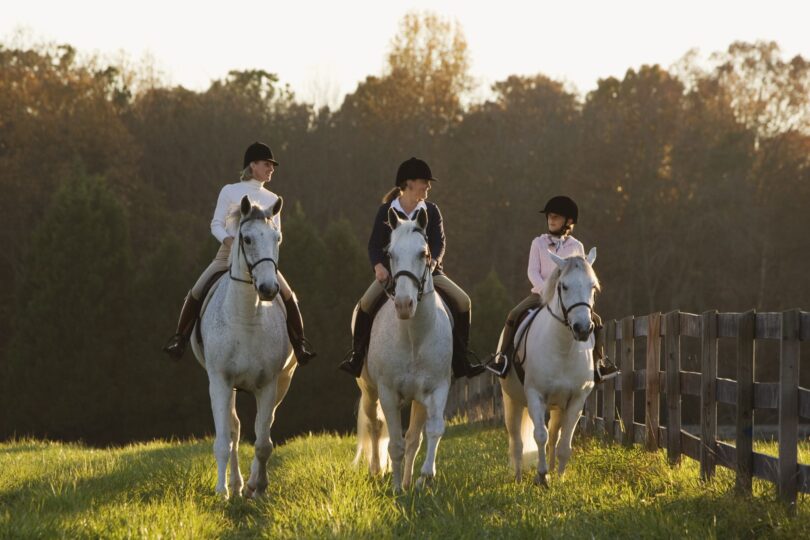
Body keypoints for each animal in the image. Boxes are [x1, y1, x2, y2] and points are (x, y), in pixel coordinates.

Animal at [190, 196, 296, 500]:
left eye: (277, 237)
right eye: (246, 239)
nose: (269, 289)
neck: (246, 318)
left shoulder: (269, 384)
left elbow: (263, 443)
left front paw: (258, 489)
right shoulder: (220, 381)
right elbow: (224, 439)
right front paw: (221, 491)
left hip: (283, 382)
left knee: (262, 427)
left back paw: (248, 485)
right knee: (235, 430)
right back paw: (235, 485)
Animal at [356, 207, 452, 494]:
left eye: (424, 253)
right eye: (390, 254)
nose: (404, 305)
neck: (413, 338)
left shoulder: (437, 388)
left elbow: (432, 431)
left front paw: (424, 477)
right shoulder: (387, 392)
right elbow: (395, 443)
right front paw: (397, 488)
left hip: (418, 399)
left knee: (413, 438)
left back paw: (411, 480)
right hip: (369, 390)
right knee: (375, 425)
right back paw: (377, 470)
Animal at [496, 249, 596, 486]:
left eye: (593, 286)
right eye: (564, 286)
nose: (582, 329)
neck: (563, 349)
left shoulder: (577, 399)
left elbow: (564, 444)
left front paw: (559, 477)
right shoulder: (535, 395)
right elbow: (539, 436)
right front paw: (541, 476)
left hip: (558, 407)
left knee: (554, 436)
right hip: (512, 401)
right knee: (517, 441)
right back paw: (519, 478)